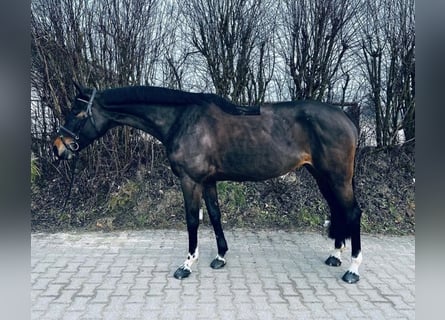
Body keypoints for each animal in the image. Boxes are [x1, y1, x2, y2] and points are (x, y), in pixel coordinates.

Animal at [53, 84, 360, 284]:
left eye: (78, 113)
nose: (58, 147)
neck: (183, 120)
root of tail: (346, 118)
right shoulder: (208, 181)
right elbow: (214, 216)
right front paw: (220, 257)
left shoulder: (190, 181)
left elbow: (192, 220)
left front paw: (187, 264)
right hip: (322, 176)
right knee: (337, 210)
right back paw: (335, 255)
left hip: (336, 177)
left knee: (352, 213)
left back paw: (353, 270)